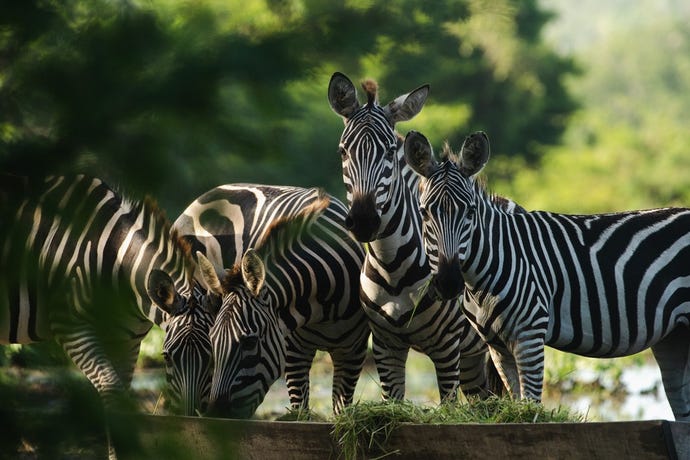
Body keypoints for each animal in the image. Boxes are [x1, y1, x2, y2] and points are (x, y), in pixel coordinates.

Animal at [0, 173, 202, 456]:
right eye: (167, 357)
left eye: (213, 356)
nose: (191, 420)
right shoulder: (72, 327)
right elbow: (112, 391)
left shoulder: (127, 340)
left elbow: (122, 397)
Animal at [150, 183, 368, 416]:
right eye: (213, 341)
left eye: (250, 342)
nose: (217, 417)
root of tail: (207, 194)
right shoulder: (293, 352)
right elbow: (300, 410)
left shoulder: (353, 354)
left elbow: (341, 411)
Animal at [326, 73, 498, 402]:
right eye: (342, 151)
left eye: (389, 152)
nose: (364, 220)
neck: (392, 266)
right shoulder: (385, 345)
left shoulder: (447, 348)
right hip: (474, 357)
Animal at [400, 129, 688, 420]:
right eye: (424, 212)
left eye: (470, 211)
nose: (449, 283)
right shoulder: (497, 346)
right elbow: (516, 397)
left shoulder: (530, 333)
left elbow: (531, 404)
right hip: (673, 337)